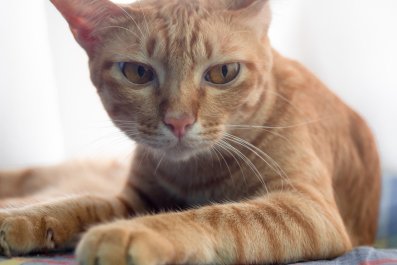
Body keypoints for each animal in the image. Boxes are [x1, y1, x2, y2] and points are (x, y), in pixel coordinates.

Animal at [0, 0, 380, 264]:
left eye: (223, 72)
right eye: (138, 73)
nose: (178, 121)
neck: (195, 172)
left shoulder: (307, 209)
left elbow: (215, 215)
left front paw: (132, 231)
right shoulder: (134, 198)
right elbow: (80, 203)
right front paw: (21, 218)